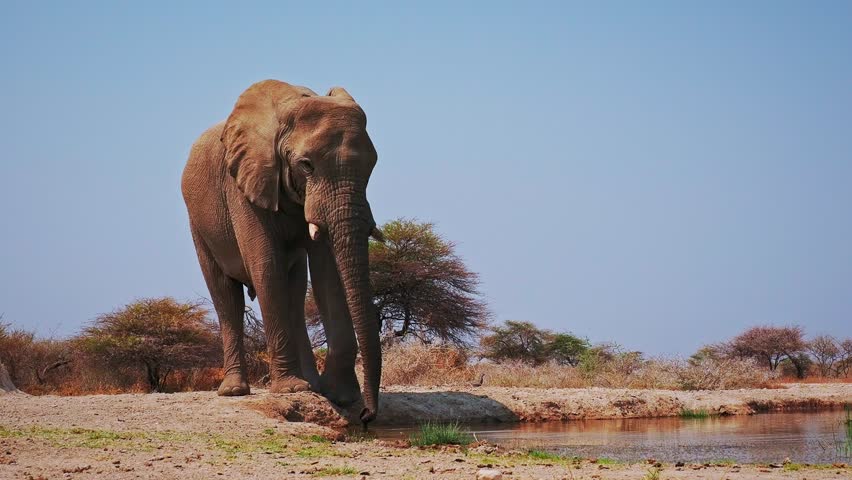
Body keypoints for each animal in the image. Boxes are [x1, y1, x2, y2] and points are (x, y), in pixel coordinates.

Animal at [181, 80, 382, 423]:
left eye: (371, 166)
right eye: (306, 165)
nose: (367, 416)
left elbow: (327, 272)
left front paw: (338, 395)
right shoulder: (243, 185)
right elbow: (266, 265)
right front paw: (290, 391)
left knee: (295, 292)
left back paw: (311, 385)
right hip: (198, 224)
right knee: (225, 296)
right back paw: (235, 390)